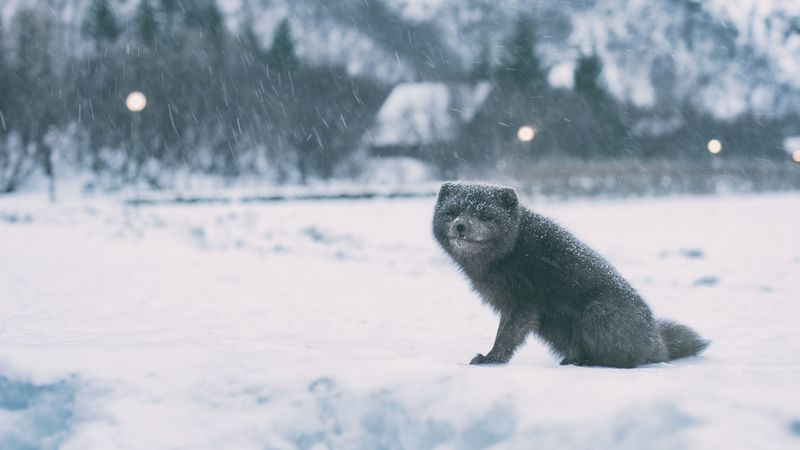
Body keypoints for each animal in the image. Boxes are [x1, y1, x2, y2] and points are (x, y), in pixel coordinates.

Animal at [432, 182, 709, 368]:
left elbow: (507, 336)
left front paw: (492, 359)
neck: (512, 250)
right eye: (453, 211)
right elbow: (503, 332)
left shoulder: (524, 302)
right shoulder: (509, 304)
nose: (460, 226)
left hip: (598, 312)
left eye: (485, 215)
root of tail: (658, 342)